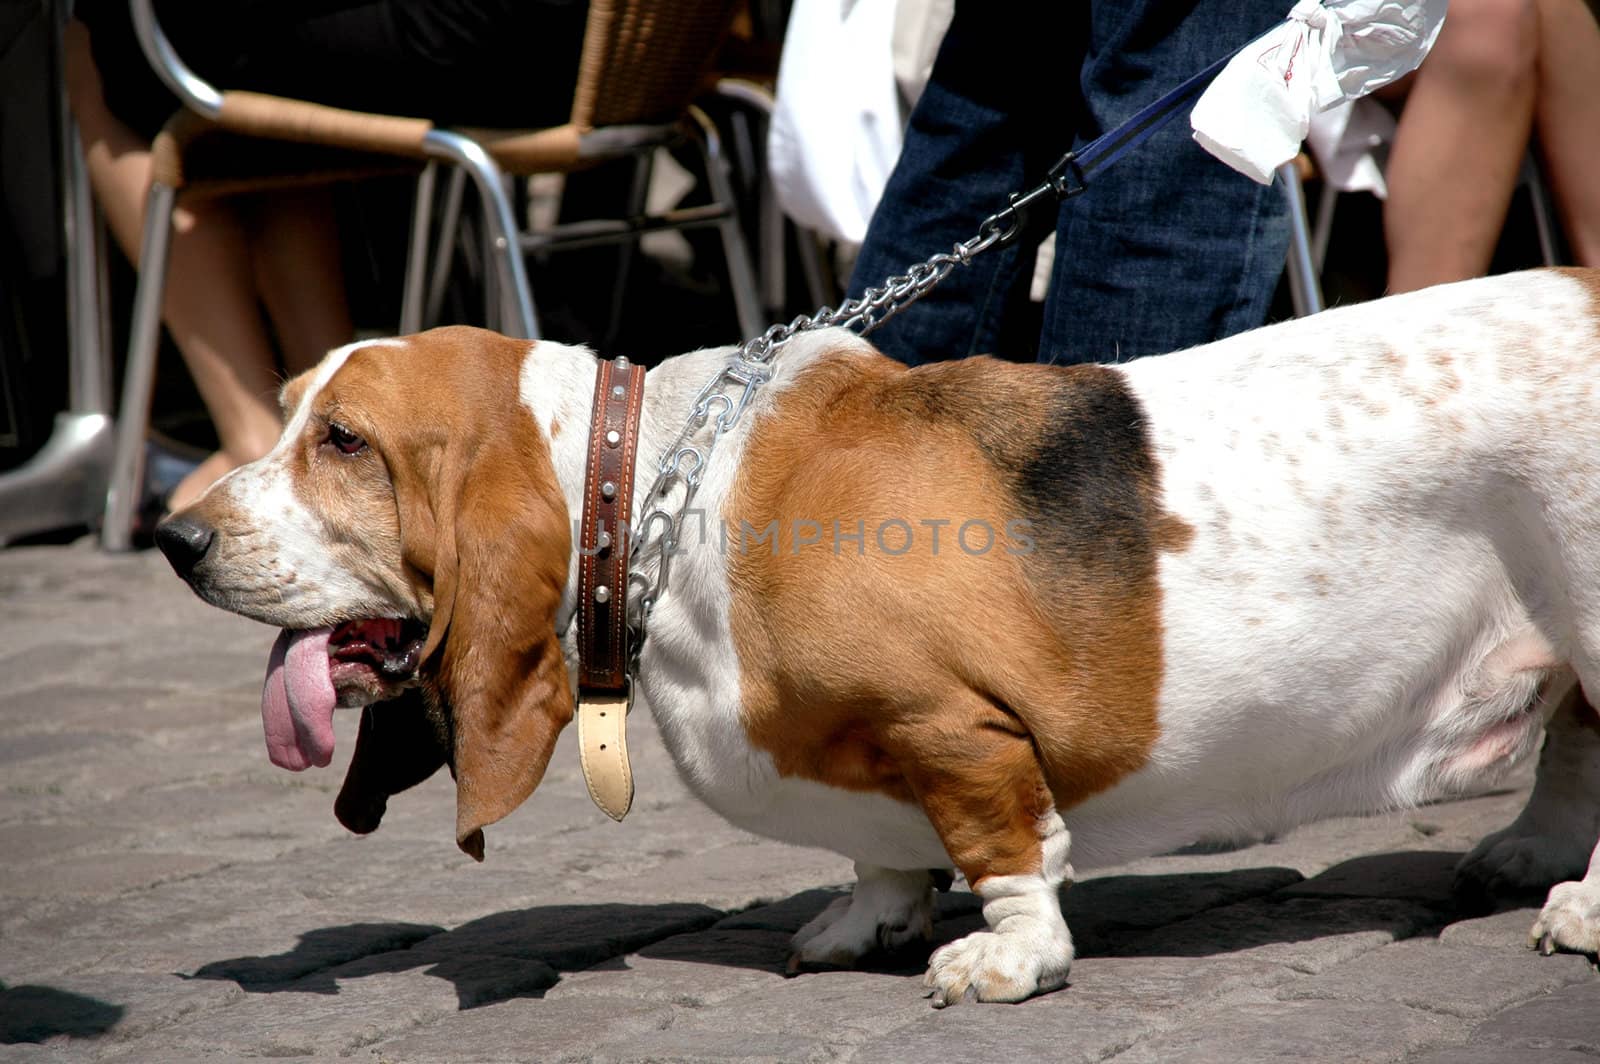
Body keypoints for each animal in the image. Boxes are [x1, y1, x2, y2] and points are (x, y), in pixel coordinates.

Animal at [156, 267, 1600, 1004]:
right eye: (287, 411)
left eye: (346, 442)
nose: (173, 539)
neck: (651, 480)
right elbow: (885, 846)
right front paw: (870, 915)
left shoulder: (952, 728)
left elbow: (1002, 846)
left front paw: (1006, 956)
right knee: (1573, 745)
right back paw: (1533, 851)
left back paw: (1578, 906)